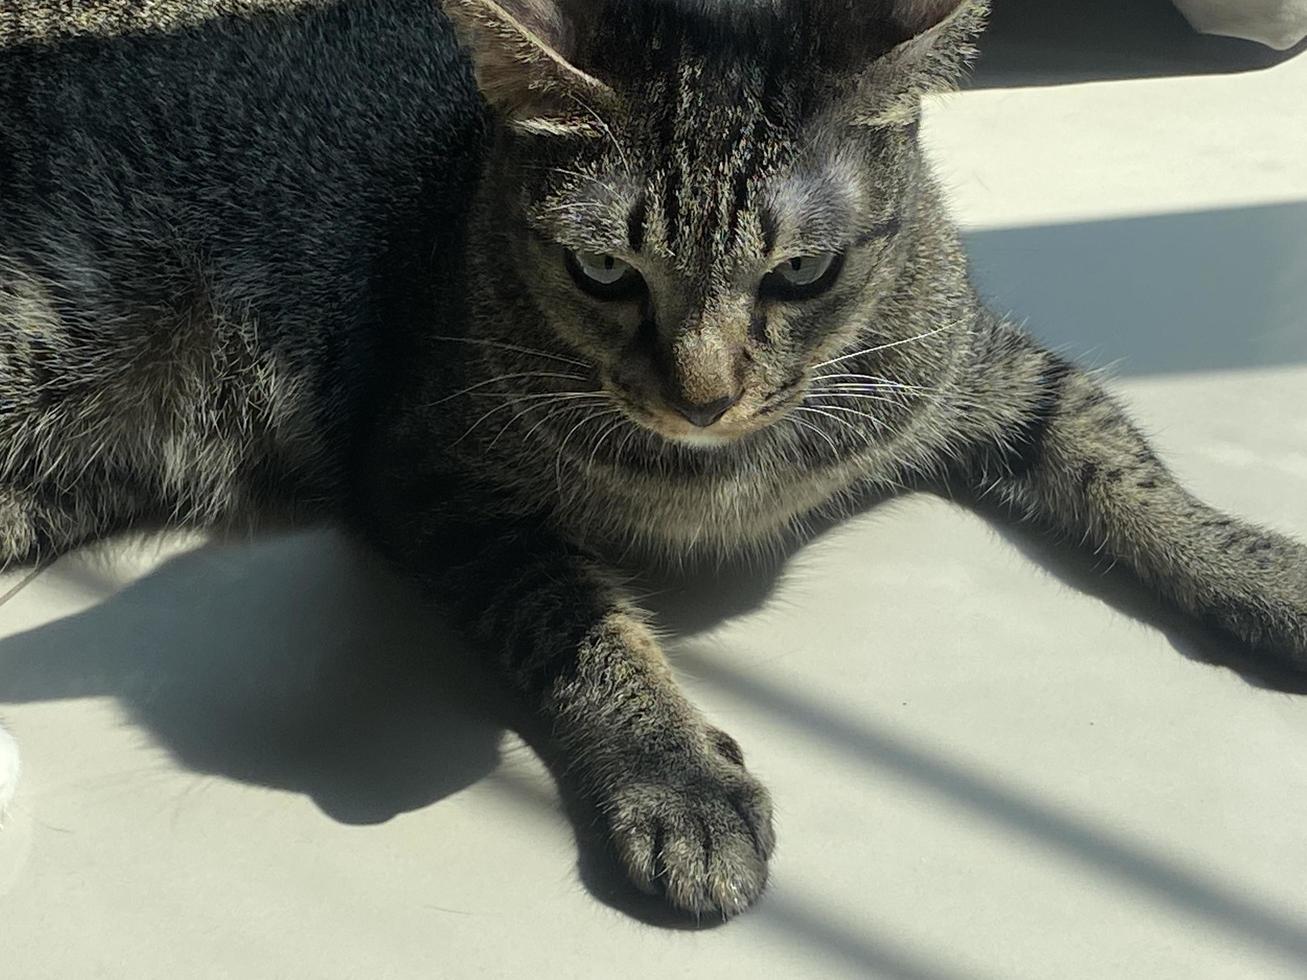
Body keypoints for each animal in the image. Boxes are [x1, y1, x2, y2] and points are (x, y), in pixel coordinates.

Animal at [2, 0, 1307, 919]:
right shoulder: (431, 471)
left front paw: (1257, 571)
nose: (702, 393)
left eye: (800, 273)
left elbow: (1120, 465)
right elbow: (570, 613)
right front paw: (672, 775)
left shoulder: (985, 370)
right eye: (602, 273)